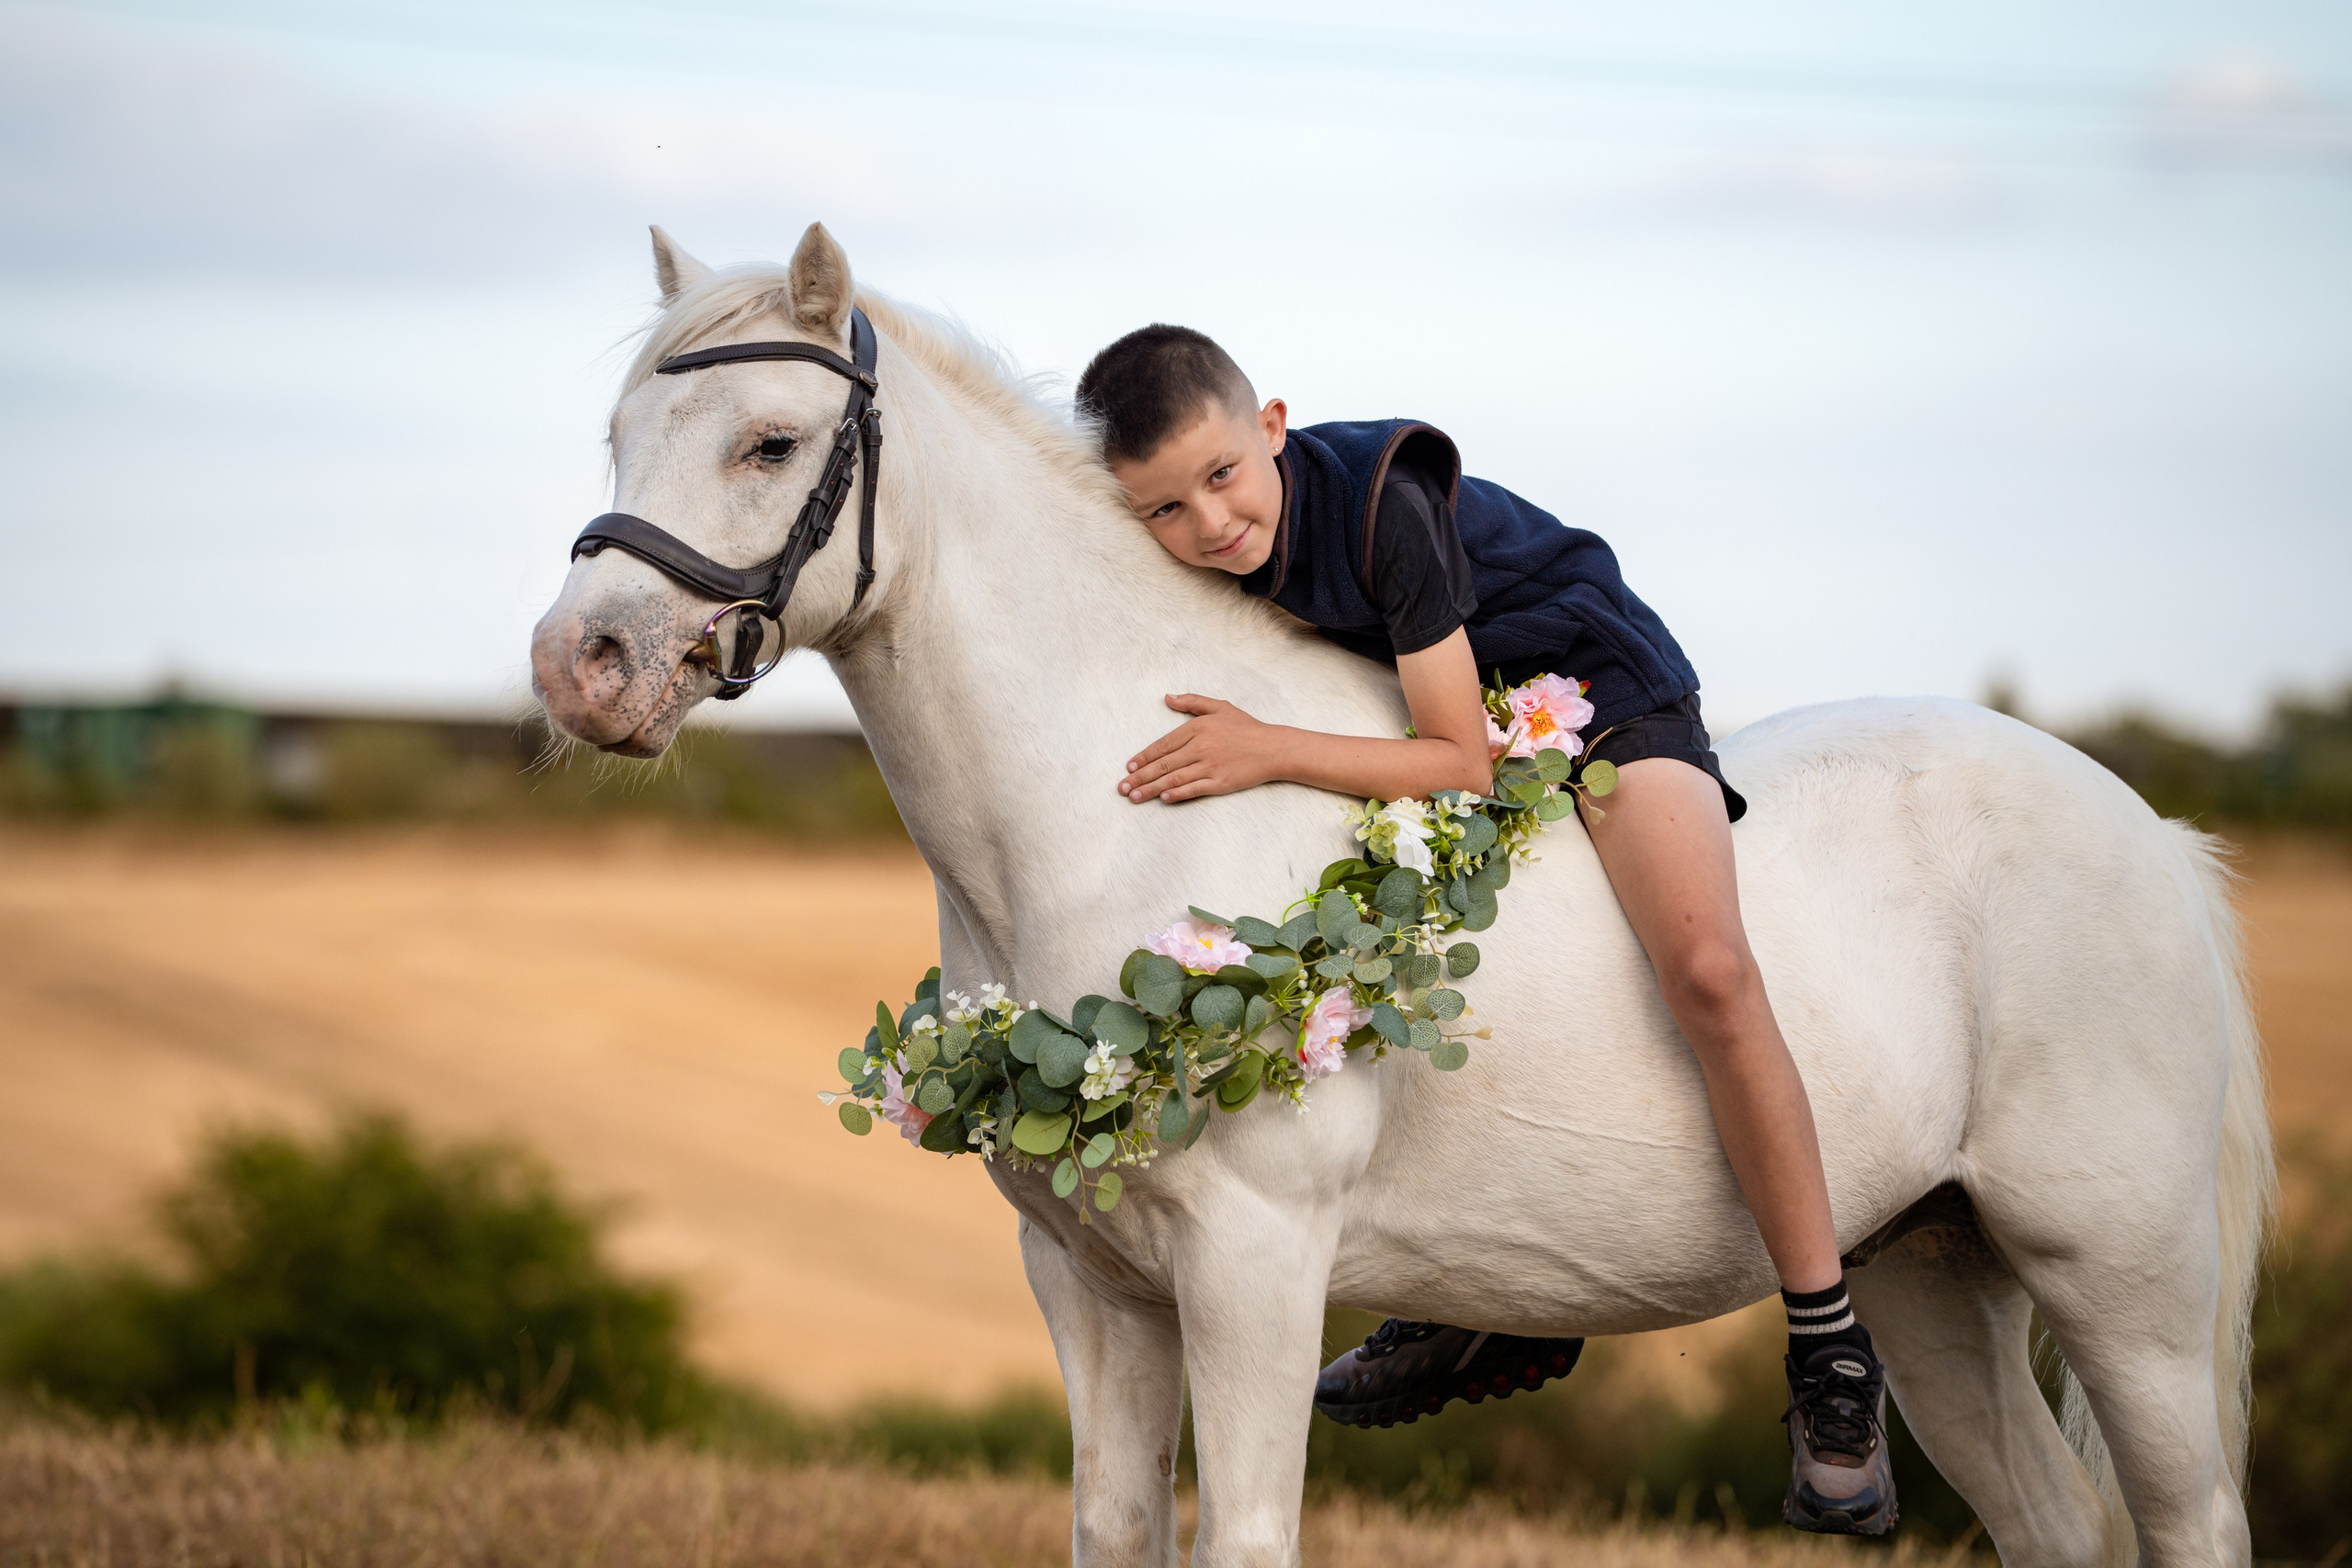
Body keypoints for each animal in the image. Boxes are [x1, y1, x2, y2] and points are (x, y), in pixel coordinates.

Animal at [530, 221, 2273, 1568]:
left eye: (768, 443)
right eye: (615, 437)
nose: (580, 667)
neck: (1104, 808)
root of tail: (2154, 838)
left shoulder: (1251, 1269)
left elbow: (1243, 1536)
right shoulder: (1093, 1288)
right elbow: (1116, 1527)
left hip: (2124, 1287)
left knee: (2187, 1519)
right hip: (1933, 1271)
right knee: (2059, 1523)